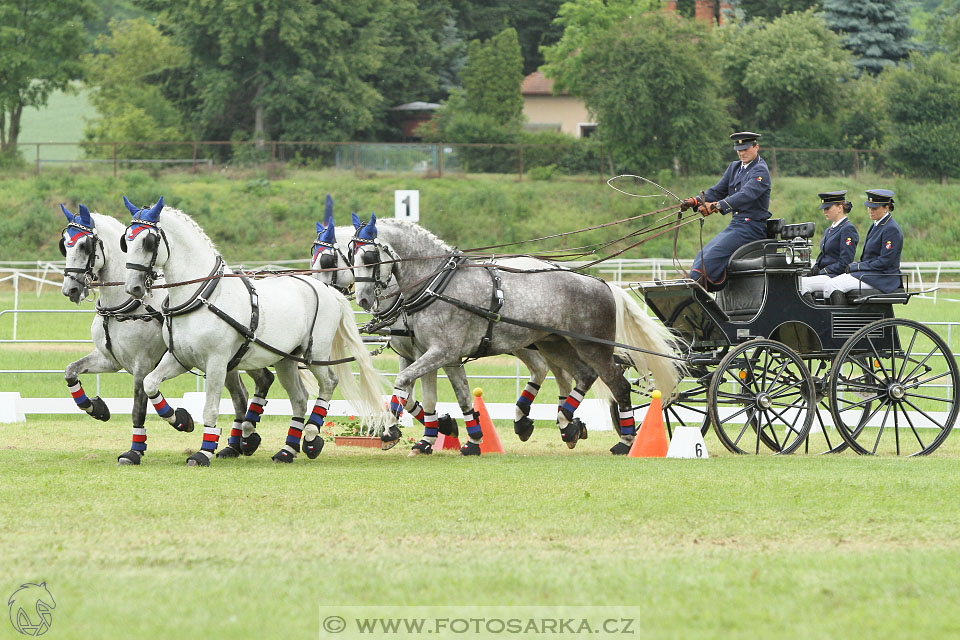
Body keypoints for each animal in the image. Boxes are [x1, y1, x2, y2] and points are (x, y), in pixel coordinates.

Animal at [57, 205, 274, 464]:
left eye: (84, 246)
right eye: (64, 244)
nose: (70, 289)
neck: (126, 305)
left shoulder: (142, 364)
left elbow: (138, 408)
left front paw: (139, 448)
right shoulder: (109, 360)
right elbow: (71, 371)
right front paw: (96, 408)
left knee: (261, 381)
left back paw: (246, 439)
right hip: (230, 363)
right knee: (242, 395)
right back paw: (235, 445)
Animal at [121, 195, 390, 464]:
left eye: (149, 242)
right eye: (127, 241)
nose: (133, 287)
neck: (203, 296)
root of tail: (329, 291)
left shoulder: (217, 363)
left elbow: (210, 408)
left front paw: (204, 451)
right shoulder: (180, 358)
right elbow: (150, 383)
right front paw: (180, 420)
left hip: (316, 354)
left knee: (329, 383)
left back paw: (312, 437)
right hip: (286, 359)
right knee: (299, 399)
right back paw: (287, 450)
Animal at [348, 215, 680, 456]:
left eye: (370, 256)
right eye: (350, 256)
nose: (362, 299)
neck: (437, 284)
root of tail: (601, 283)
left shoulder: (441, 352)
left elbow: (405, 382)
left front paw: (391, 430)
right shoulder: (439, 355)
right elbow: (456, 395)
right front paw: (468, 439)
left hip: (591, 347)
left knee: (616, 384)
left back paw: (624, 441)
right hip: (554, 344)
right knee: (580, 376)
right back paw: (565, 423)